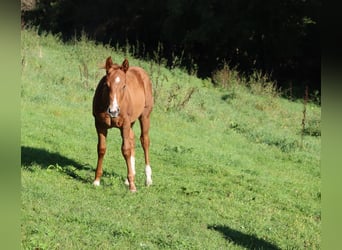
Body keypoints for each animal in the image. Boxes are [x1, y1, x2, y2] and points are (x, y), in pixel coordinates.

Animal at [92, 56, 154, 191]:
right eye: (106, 85)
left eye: (124, 86)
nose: (113, 111)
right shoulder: (100, 125)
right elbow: (101, 149)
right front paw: (96, 181)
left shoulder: (124, 124)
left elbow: (126, 150)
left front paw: (132, 187)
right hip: (131, 122)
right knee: (132, 140)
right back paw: (130, 177)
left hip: (145, 117)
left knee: (144, 141)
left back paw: (148, 179)